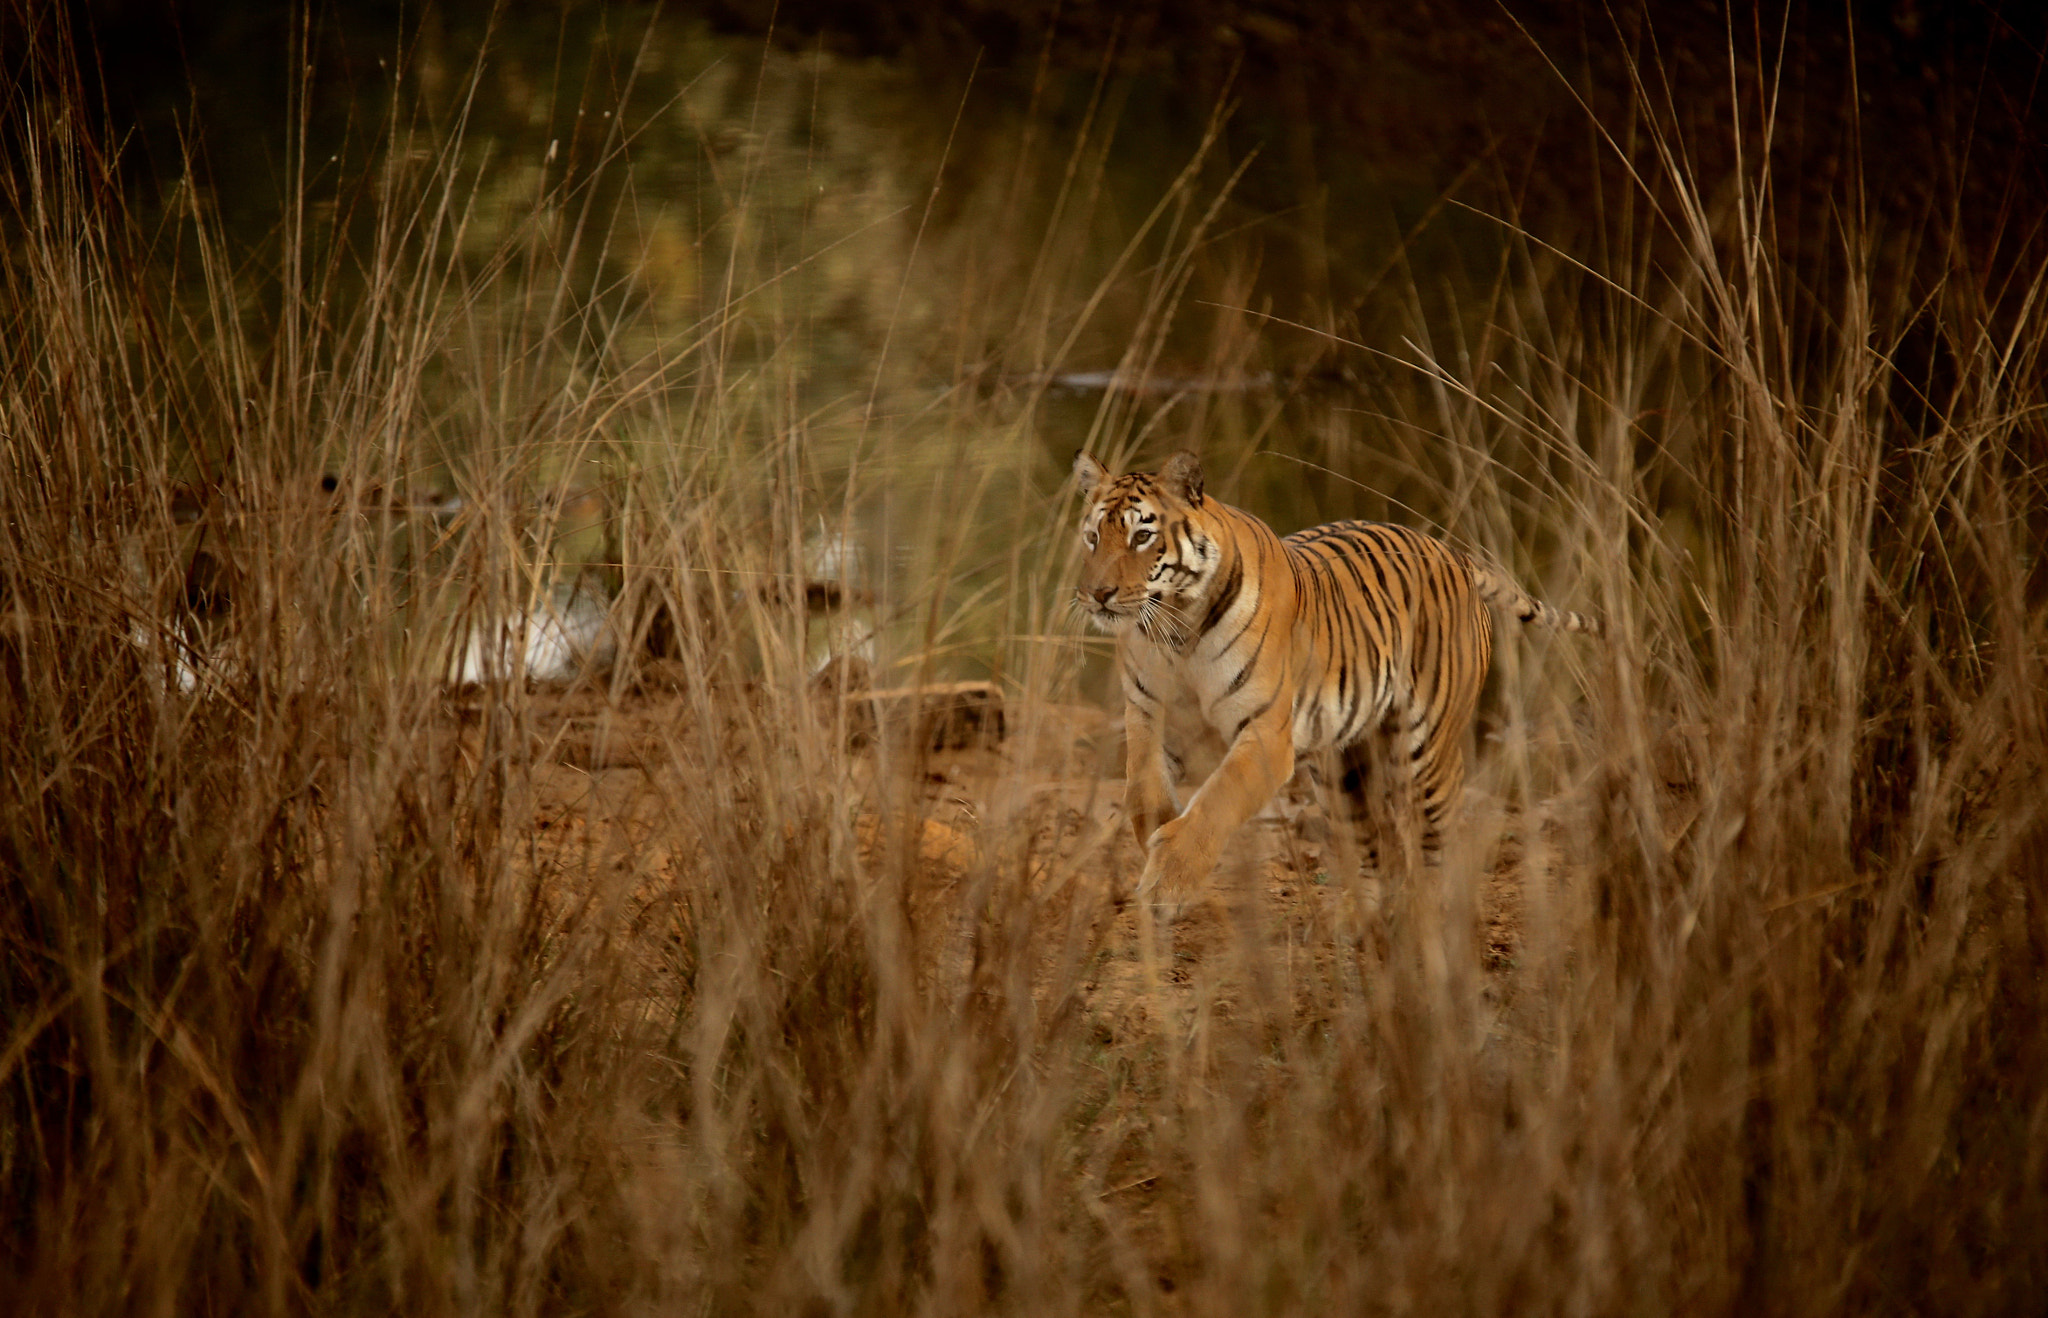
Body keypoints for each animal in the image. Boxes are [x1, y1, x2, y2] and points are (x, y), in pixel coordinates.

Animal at [1072, 449, 1601, 909]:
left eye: (1142, 537)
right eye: (1093, 537)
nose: (1096, 594)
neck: (1177, 630)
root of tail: (1456, 555)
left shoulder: (1266, 733)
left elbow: (1216, 802)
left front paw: (1169, 881)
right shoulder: (1148, 712)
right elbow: (1142, 790)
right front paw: (1155, 839)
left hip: (1427, 747)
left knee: (1440, 833)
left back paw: (1435, 920)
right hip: (1343, 771)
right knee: (1380, 852)